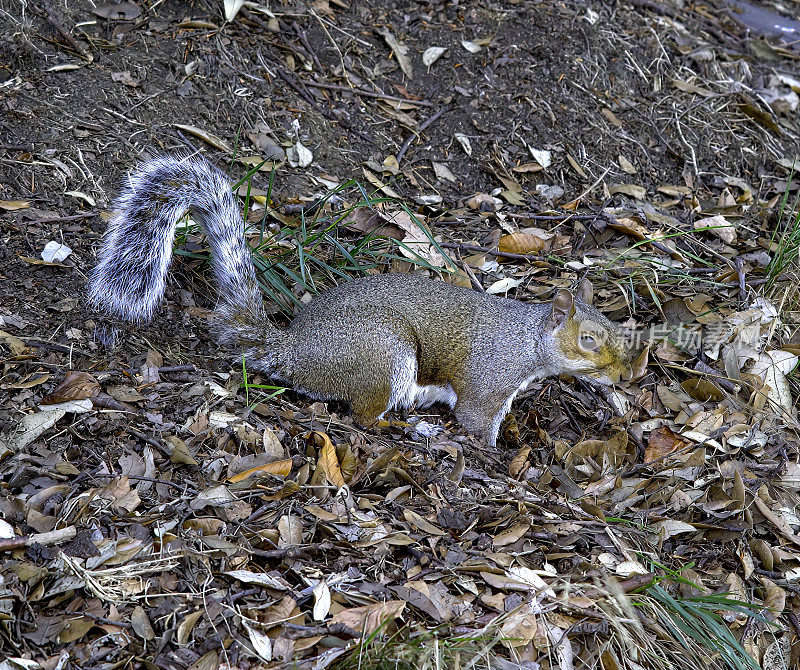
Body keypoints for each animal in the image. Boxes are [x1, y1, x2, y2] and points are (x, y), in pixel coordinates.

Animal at [90, 156, 632, 448]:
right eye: (588, 340)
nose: (625, 375)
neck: (528, 341)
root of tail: (293, 351)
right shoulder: (489, 379)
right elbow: (477, 421)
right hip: (384, 352)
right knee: (363, 415)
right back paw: (407, 427)